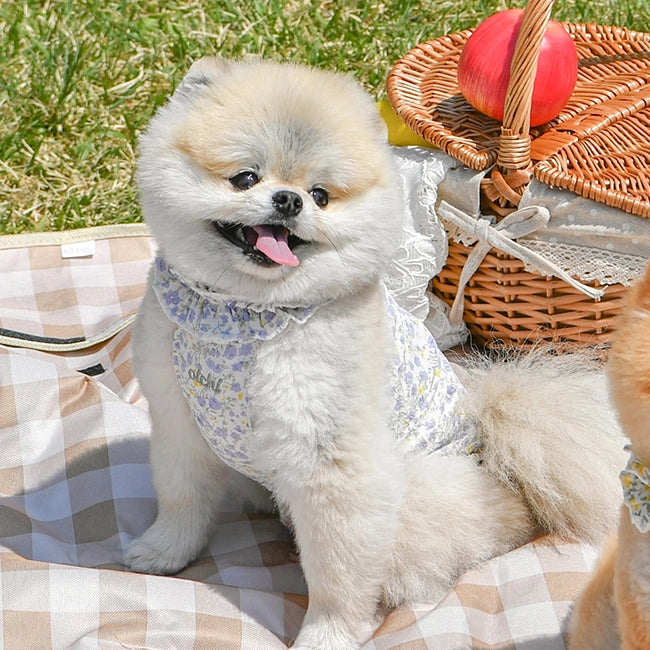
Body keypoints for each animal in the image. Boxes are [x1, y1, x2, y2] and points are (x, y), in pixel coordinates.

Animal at [125, 58, 624, 644]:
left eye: (320, 195)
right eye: (246, 177)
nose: (289, 200)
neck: (246, 312)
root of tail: (497, 457)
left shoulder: (333, 465)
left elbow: (337, 572)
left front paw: (327, 635)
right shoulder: (178, 418)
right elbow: (181, 496)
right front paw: (164, 553)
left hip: (417, 497)